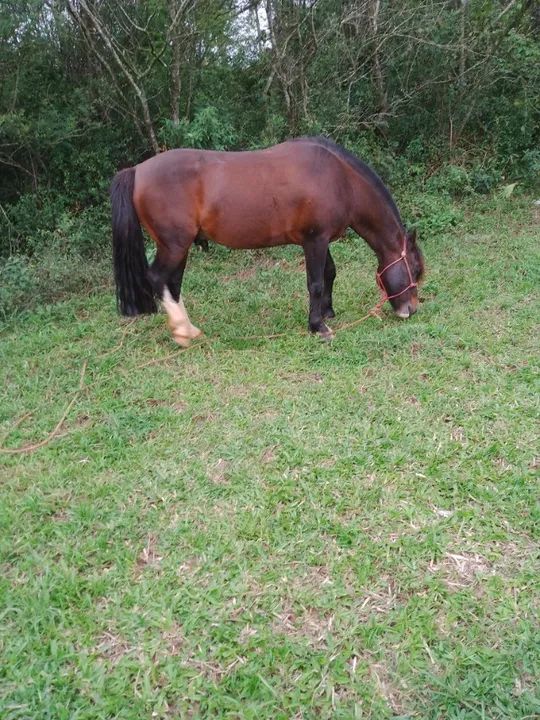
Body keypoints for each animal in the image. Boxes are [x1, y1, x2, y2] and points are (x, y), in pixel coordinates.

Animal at [110, 136, 424, 346]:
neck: (340, 179)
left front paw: (328, 312)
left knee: (172, 283)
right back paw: (181, 331)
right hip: (174, 245)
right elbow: (316, 282)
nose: (411, 310)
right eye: (416, 269)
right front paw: (318, 326)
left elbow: (330, 273)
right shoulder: (315, 241)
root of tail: (137, 170)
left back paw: (188, 328)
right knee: (157, 278)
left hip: (179, 248)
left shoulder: (320, 240)